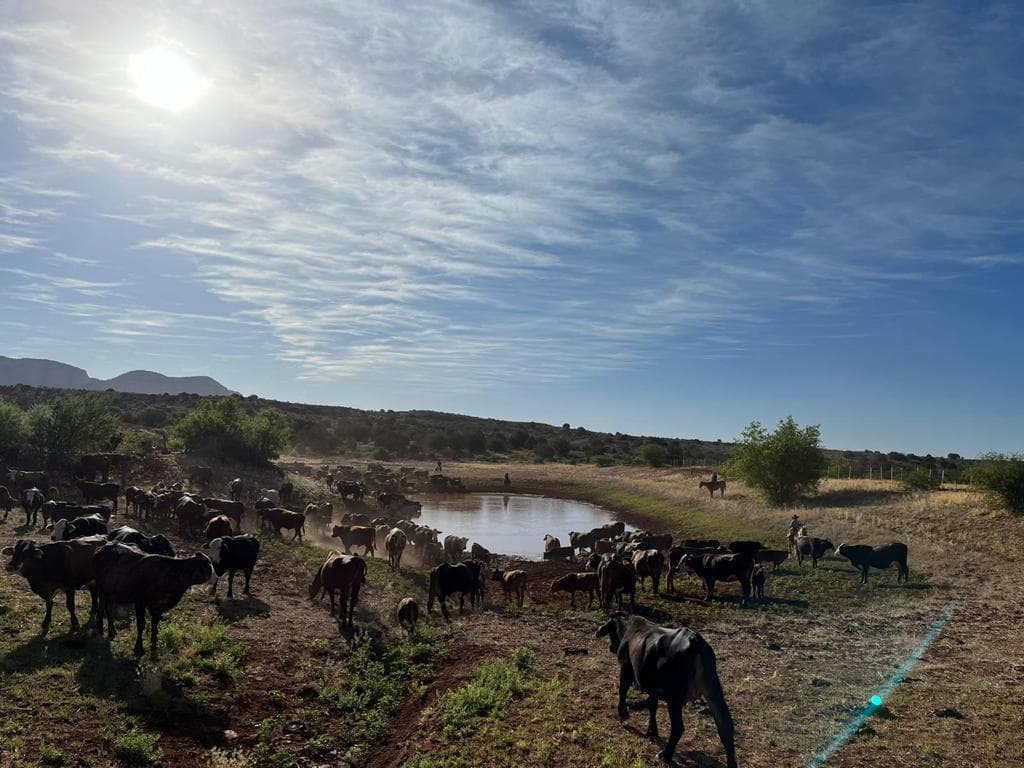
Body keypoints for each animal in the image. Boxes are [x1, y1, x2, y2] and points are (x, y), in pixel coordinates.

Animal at [596, 613, 737, 767]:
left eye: (610, 631)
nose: (610, 647)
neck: (628, 630)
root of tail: (694, 640)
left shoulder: (626, 669)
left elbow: (622, 691)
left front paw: (623, 714)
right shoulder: (652, 688)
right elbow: (652, 706)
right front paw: (652, 731)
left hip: (675, 698)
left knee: (678, 727)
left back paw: (665, 754)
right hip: (713, 691)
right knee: (725, 727)